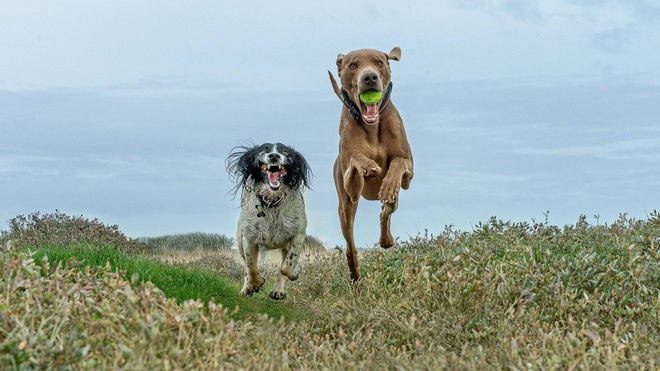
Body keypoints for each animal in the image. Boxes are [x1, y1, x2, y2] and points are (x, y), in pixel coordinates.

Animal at [224, 141, 312, 300]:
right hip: (240, 241)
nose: (274, 156)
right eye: (262, 152)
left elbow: (286, 266)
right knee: (246, 267)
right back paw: (247, 287)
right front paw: (256, 283)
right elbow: (252, 268)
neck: (272, 201)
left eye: (285, 152)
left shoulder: (298, 234)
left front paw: (294, 274)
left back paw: (278, 291)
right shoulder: (249, 238)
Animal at [328, 48, 416, 284]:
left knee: (386, 211)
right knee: (350, 248)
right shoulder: (350, 184)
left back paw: (386, 239)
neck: (372, 126)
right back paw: (356, 279)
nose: (369, 77)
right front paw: (368, 165)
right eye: (352, 66)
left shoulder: (409, 174)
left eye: (378, 63)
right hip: (345, 208)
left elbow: (398, 162)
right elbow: (356, 159)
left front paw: (388, 184)